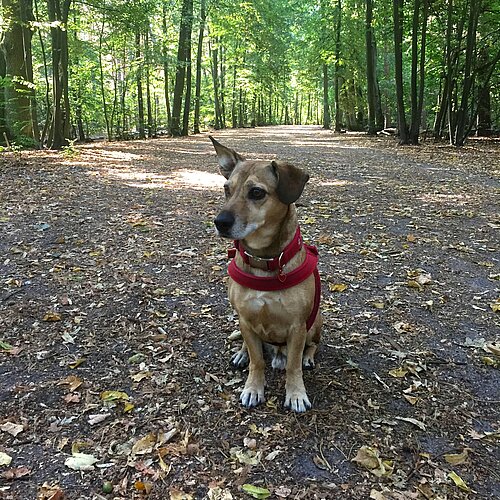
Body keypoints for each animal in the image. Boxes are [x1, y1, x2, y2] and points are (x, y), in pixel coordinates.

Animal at [210, 135, 320, 412]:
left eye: (257, 192)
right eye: (227, 189)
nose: (220, 222)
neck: (265, 260)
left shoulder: (297, 326)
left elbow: (293, 365)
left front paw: (296, 393)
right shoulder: (246, 319)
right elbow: (257, 360)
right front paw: (253, 388)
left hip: (316, 322)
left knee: (311, 346)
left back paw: (307, 357)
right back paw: (241, 353)